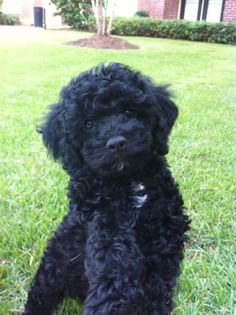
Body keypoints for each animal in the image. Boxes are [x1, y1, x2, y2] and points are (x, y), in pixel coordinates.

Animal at [24, 62, 190, 315]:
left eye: (129, 112)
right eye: (88, 124)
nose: (116, 143)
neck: (128, 180)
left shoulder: (167, 234)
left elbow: (157, 284)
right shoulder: (105, 226)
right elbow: (113, 271)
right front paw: (104, 306)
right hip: (54, 267)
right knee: (40, 295)